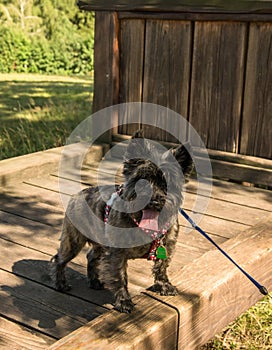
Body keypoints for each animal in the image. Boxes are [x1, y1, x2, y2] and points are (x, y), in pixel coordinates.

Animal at [50, 131, 192, 312]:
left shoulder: (167, 246)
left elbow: (161, 267)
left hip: (99, 243)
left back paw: (94, 281)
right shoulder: (117, 255)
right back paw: (61, 283)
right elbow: (120, 277)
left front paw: (164, 286)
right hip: (73, 242)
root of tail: (77, 194)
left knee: (91, 256)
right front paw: (124, 301)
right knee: (59, 259)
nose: (153, 200)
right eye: (141, 179)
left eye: (168, 182)